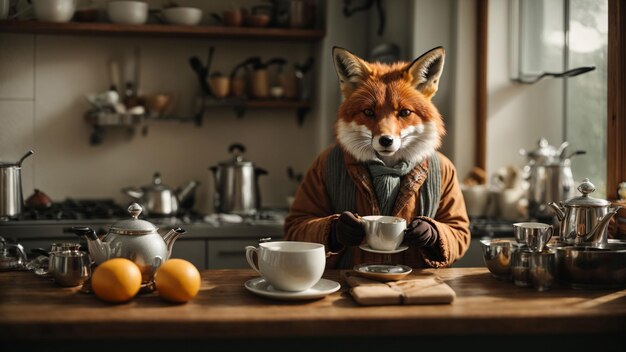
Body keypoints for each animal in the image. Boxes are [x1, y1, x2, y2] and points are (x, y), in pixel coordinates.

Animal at [282, 45, 468, 268]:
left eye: (404, 112)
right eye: (369, 112)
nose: (386, 140)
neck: (388, 168)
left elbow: (456, 227)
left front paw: (425, 231)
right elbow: (300, 221)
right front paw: (342, 228)